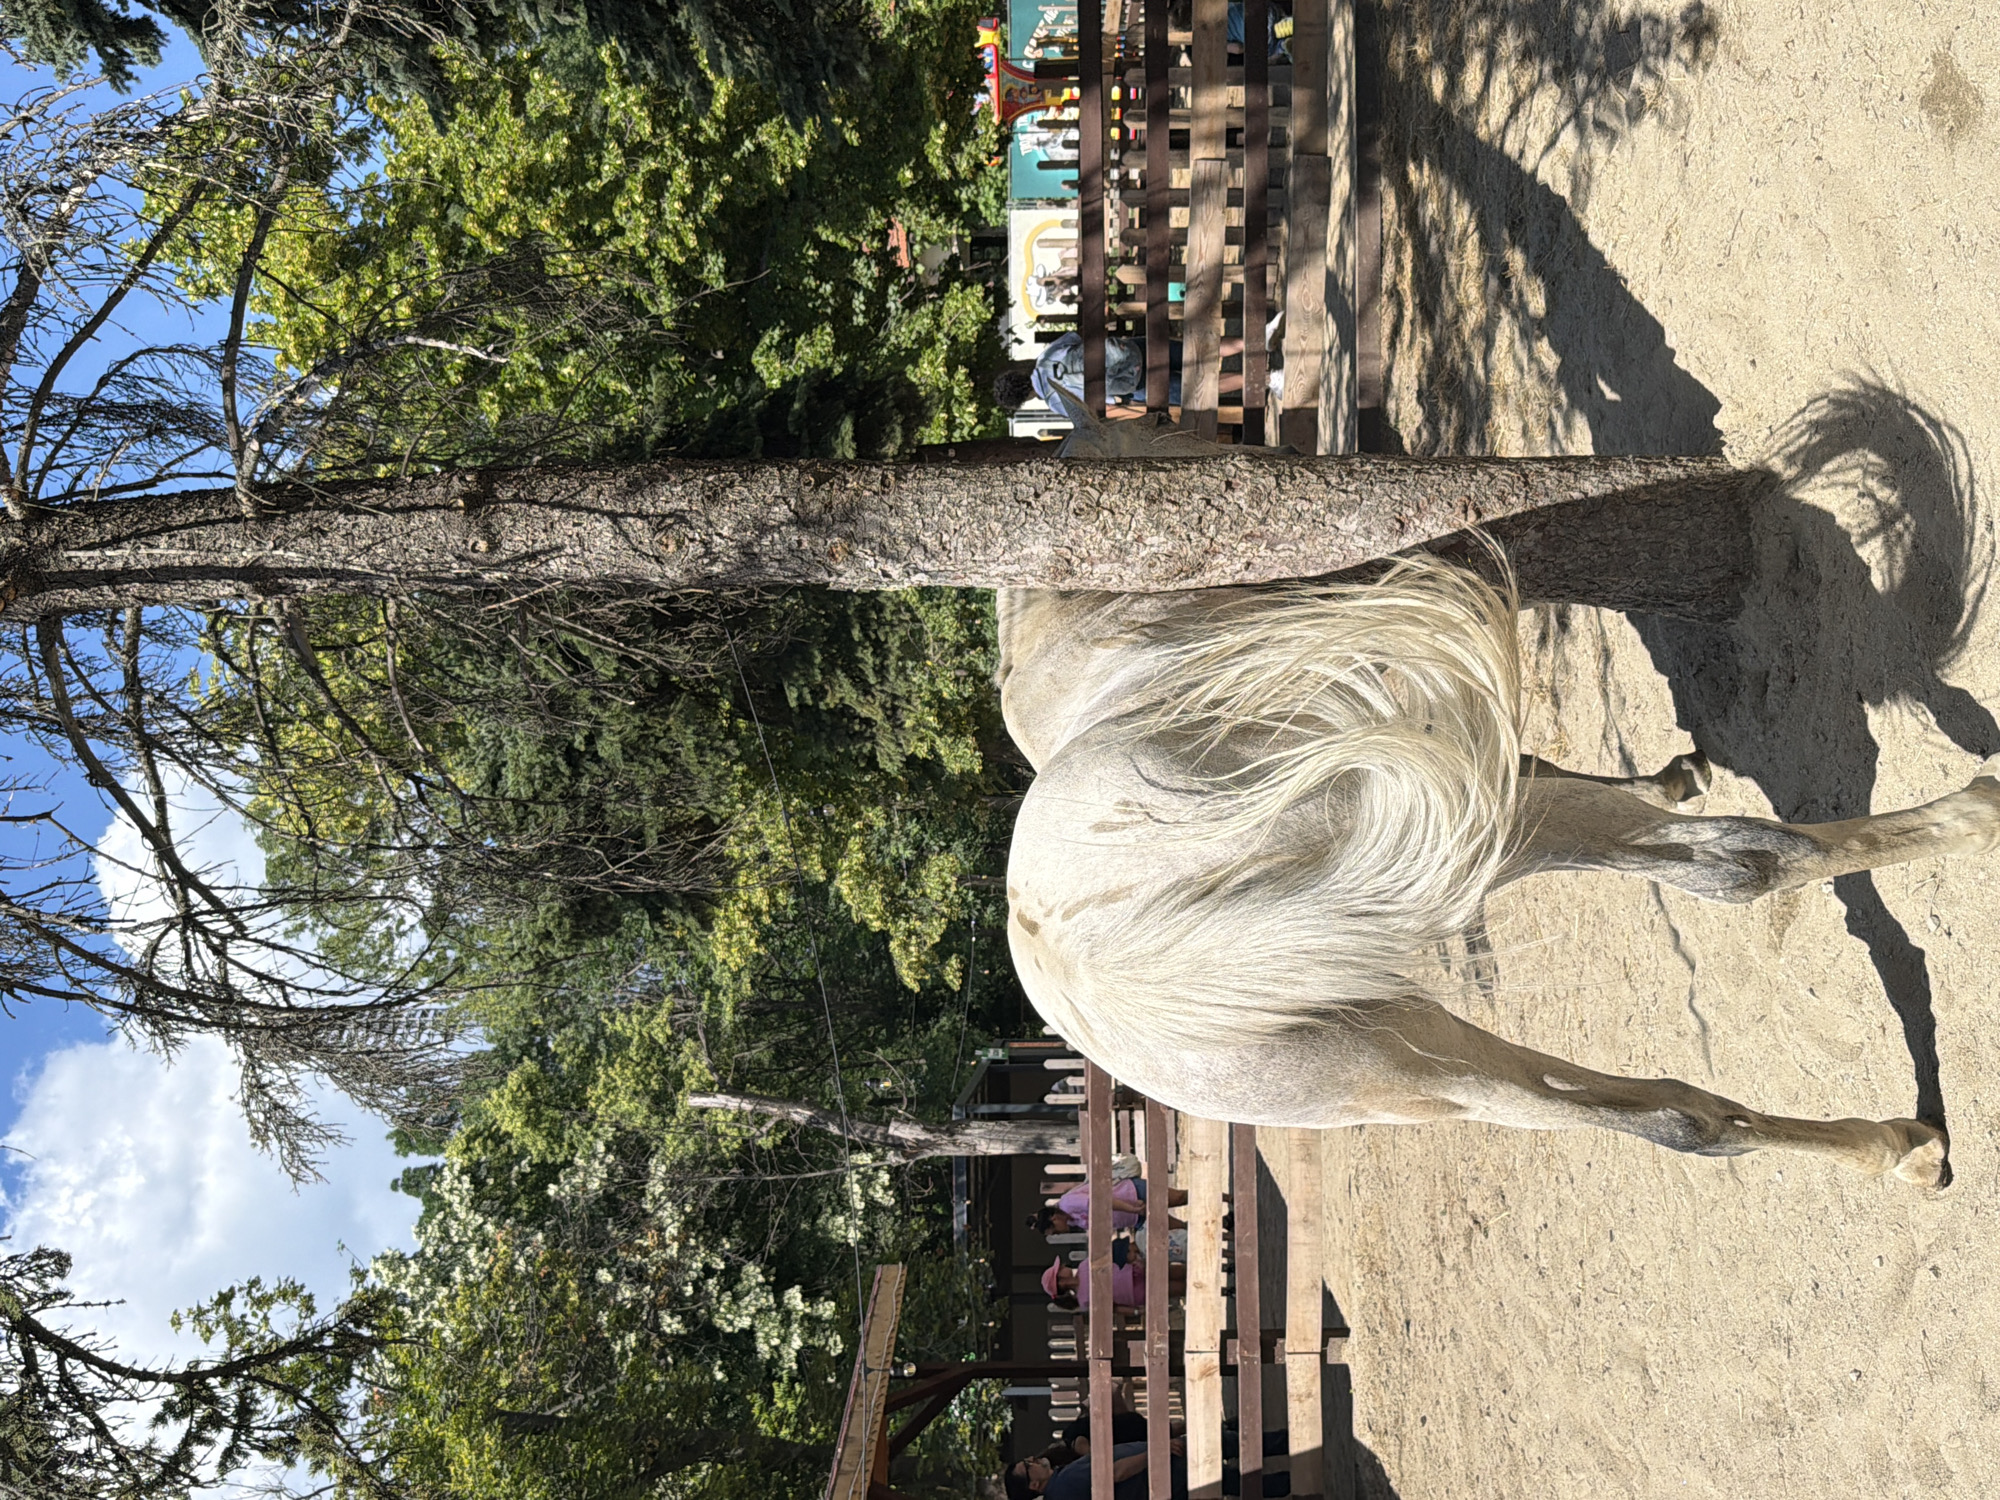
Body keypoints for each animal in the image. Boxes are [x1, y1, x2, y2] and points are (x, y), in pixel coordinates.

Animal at [997, 413, 1995, 1188]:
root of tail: (1095, 950)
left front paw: (1670, 774)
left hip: (1386, 1068)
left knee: (1670, 1119)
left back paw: (1896, 1150)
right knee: (1744, 866)